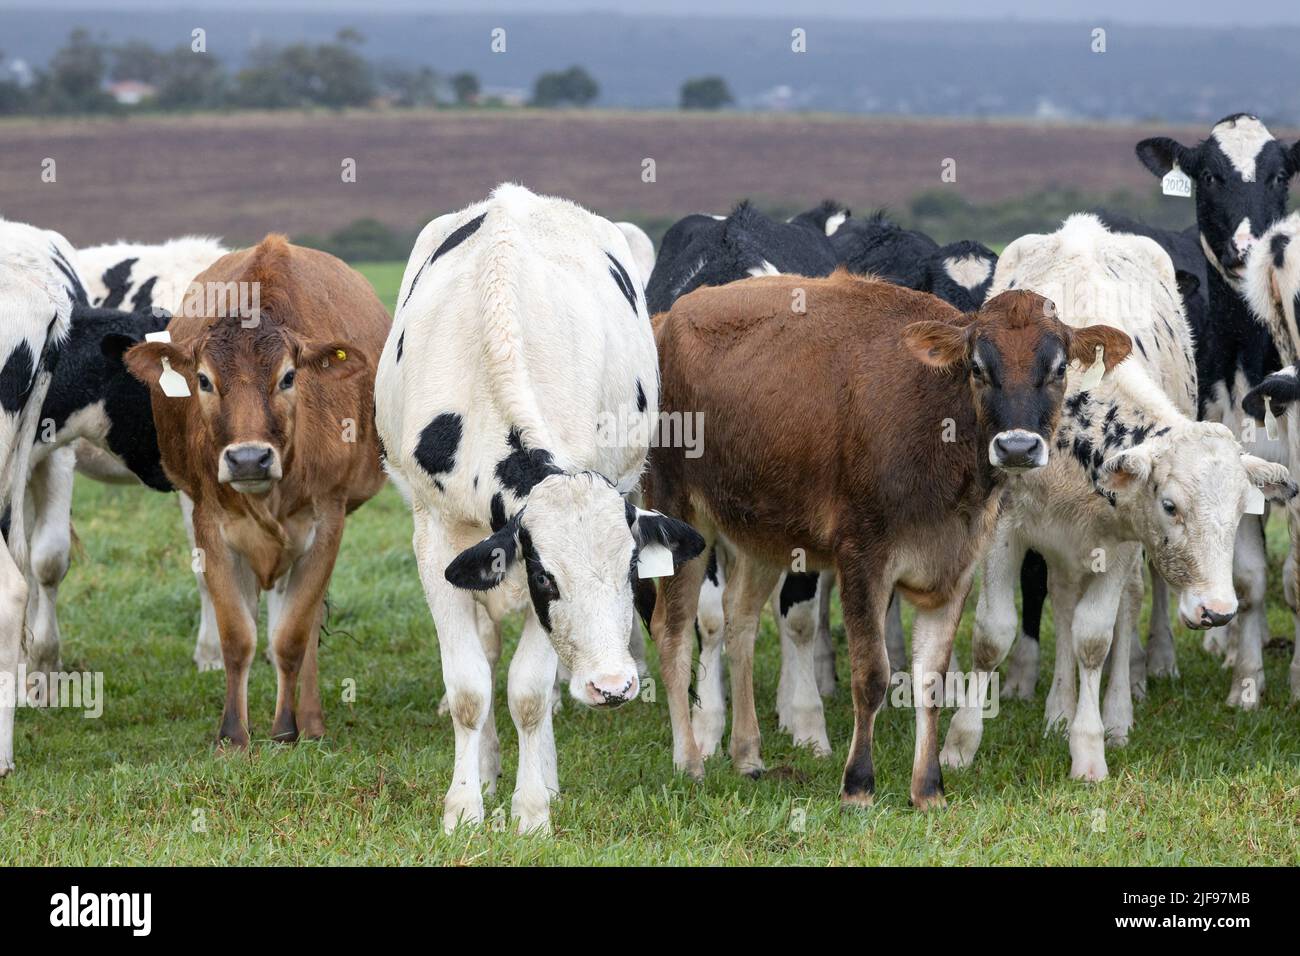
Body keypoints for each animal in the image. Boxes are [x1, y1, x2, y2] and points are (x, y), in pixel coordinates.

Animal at [120, 235, 387, 743]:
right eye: (203, 379)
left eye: (289, 376)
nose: (248, 459)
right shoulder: (209, 521)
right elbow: (237, 637)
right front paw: (232, 736)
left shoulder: (327, 521)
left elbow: (293, 636)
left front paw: (286, 730)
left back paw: (312, 719)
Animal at [377, 183, 702, 832]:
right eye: (548, 579)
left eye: (632, 571)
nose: (613, 686)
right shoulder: (437, 538)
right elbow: (469, 687)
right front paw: (464, 804)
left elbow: (529, 692)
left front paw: (531, 810)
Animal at [644, 269, 1133, 806]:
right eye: (978, 367)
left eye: (1060, 367)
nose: (1018, 447)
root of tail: (670, 316)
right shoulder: (862, 557)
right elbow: (872, 674)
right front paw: (858, 784)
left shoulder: (957, 565)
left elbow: (932, 678)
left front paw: (928, 787)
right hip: (678, 510)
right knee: (671, 630)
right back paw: (689, 760)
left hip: (762, 529)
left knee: (740, 620)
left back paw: (748, 754)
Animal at [941, 213, 1294, 780]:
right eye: (1170, 505)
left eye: (1241, 510)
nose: (1217, 612)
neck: (1075, 420)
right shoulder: (1004, 530)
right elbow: (994, 634)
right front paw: (960, 744)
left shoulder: (1121, 538)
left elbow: (1094, 637)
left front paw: (1090, 748)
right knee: (1062, 601)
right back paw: (1058, 710)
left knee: (1122, 610)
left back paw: (1116, 713)